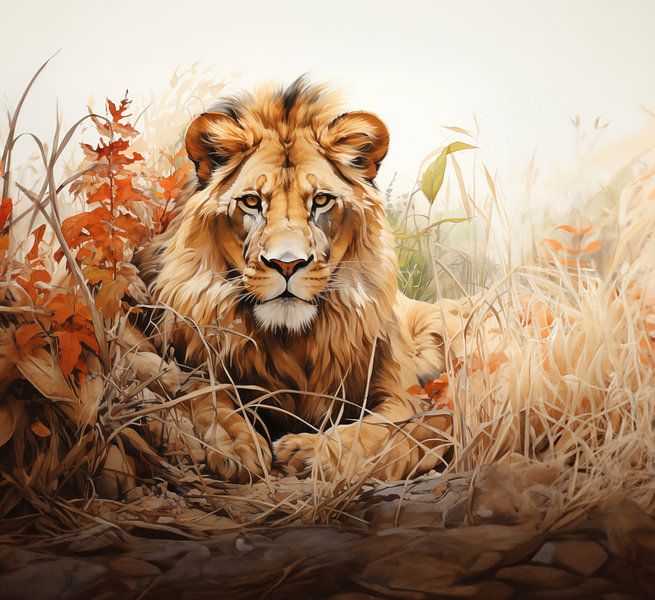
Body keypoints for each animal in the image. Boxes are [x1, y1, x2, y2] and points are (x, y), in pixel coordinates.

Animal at [137, 77, 452, 482]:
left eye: (320, 200)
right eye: (251, 202)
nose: (287, 264)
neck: (291, 341)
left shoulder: (407, 391)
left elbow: (387, 429)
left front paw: (313, 451)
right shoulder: (189, 357)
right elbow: (197, 391)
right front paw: (233, 443)